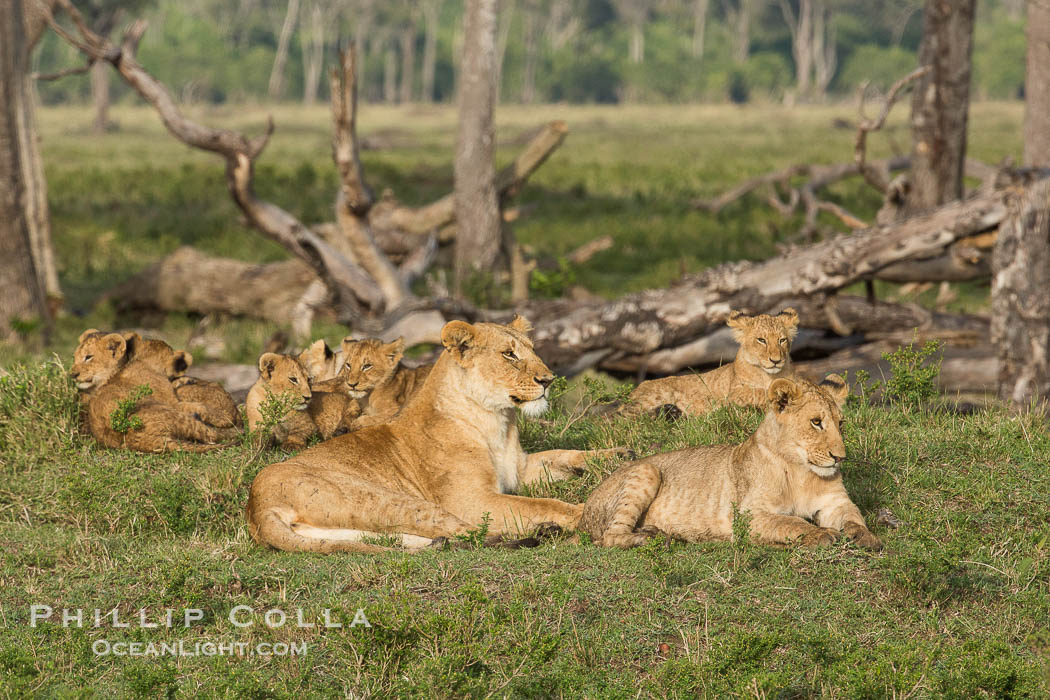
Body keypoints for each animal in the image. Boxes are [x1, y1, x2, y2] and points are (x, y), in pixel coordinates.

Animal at [71, 331, 239, 452]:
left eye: (88, 357)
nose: (72, 374)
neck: (145, 361)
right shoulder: (172, 402)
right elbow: (197, 406)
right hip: (175, 416)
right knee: (212, 434)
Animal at [245, 317, 628, 553]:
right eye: (509, 354)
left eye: (533, 350)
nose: (548, 380)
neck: (497, 422)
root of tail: (256, 506)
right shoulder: (473, 498)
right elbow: (544, 503)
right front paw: (585, 511)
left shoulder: (519, 470)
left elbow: (562, 455)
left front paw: (618, 456)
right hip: (388, 499)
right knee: (468, 530)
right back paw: (542, 533)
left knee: (426, 538)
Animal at [580, 374, 882, 550]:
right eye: (816, 422)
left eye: (841, 423)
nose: (840, 457)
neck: (801, 471)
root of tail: (585, 509)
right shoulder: (747, 515)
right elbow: (790, 522)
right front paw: (821, 534)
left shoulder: (835, 502)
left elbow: (854, 517)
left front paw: (866, 537)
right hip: (647, 469)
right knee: (609, 537)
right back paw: (651, 537)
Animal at [623, 308, 799, 418]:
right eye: (761, 340)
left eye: (782, 340)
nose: (776, 360)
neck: (768, 375)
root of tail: (635, 390)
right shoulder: (735, 394)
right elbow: (760, 392)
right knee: (625, 415)